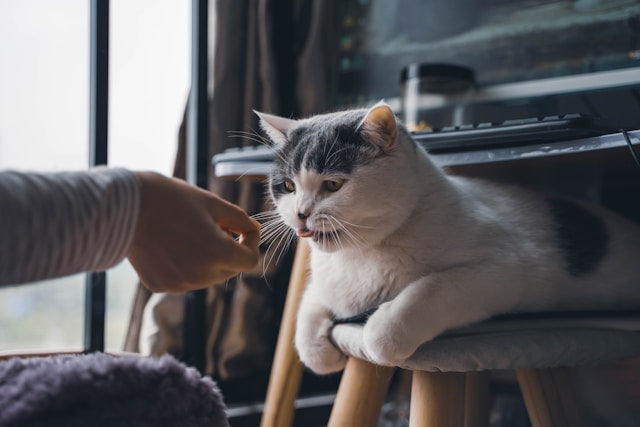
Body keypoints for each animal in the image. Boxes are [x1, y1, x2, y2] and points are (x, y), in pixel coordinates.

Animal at [255, 103, 640, 374]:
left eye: (333, 184)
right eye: (288, 186)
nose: (301, 213)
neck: (360, 255)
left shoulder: (501, 268)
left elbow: (421, 295)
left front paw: (381, 333)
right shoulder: (326, 284)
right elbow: (306, 309)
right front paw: (319, 353)